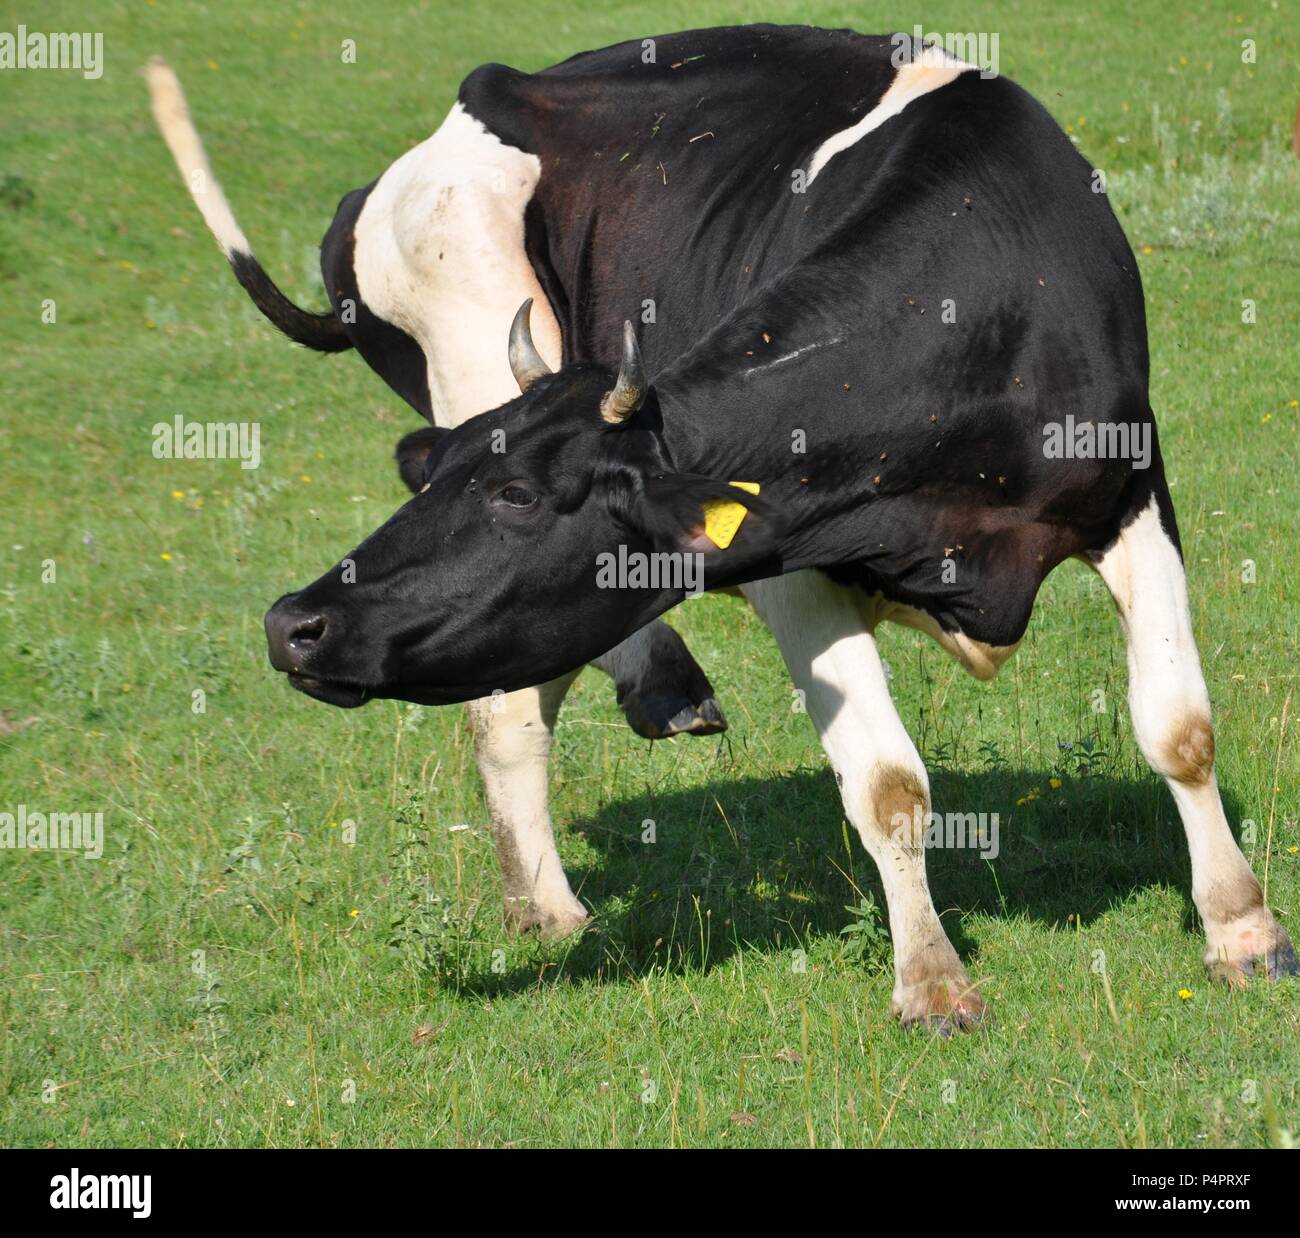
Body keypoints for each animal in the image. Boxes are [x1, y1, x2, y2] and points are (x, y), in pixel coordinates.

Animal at [182, 25, 1298, 1030]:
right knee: (510, 703)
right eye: (440, 481)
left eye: (518, 497)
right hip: (462, 348)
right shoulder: (785, 557)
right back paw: (590, 820)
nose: (293, 622)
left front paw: (1244, 931)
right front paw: (933, 982)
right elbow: (887, 783)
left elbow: (1180, 727)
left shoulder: (1131, 492)